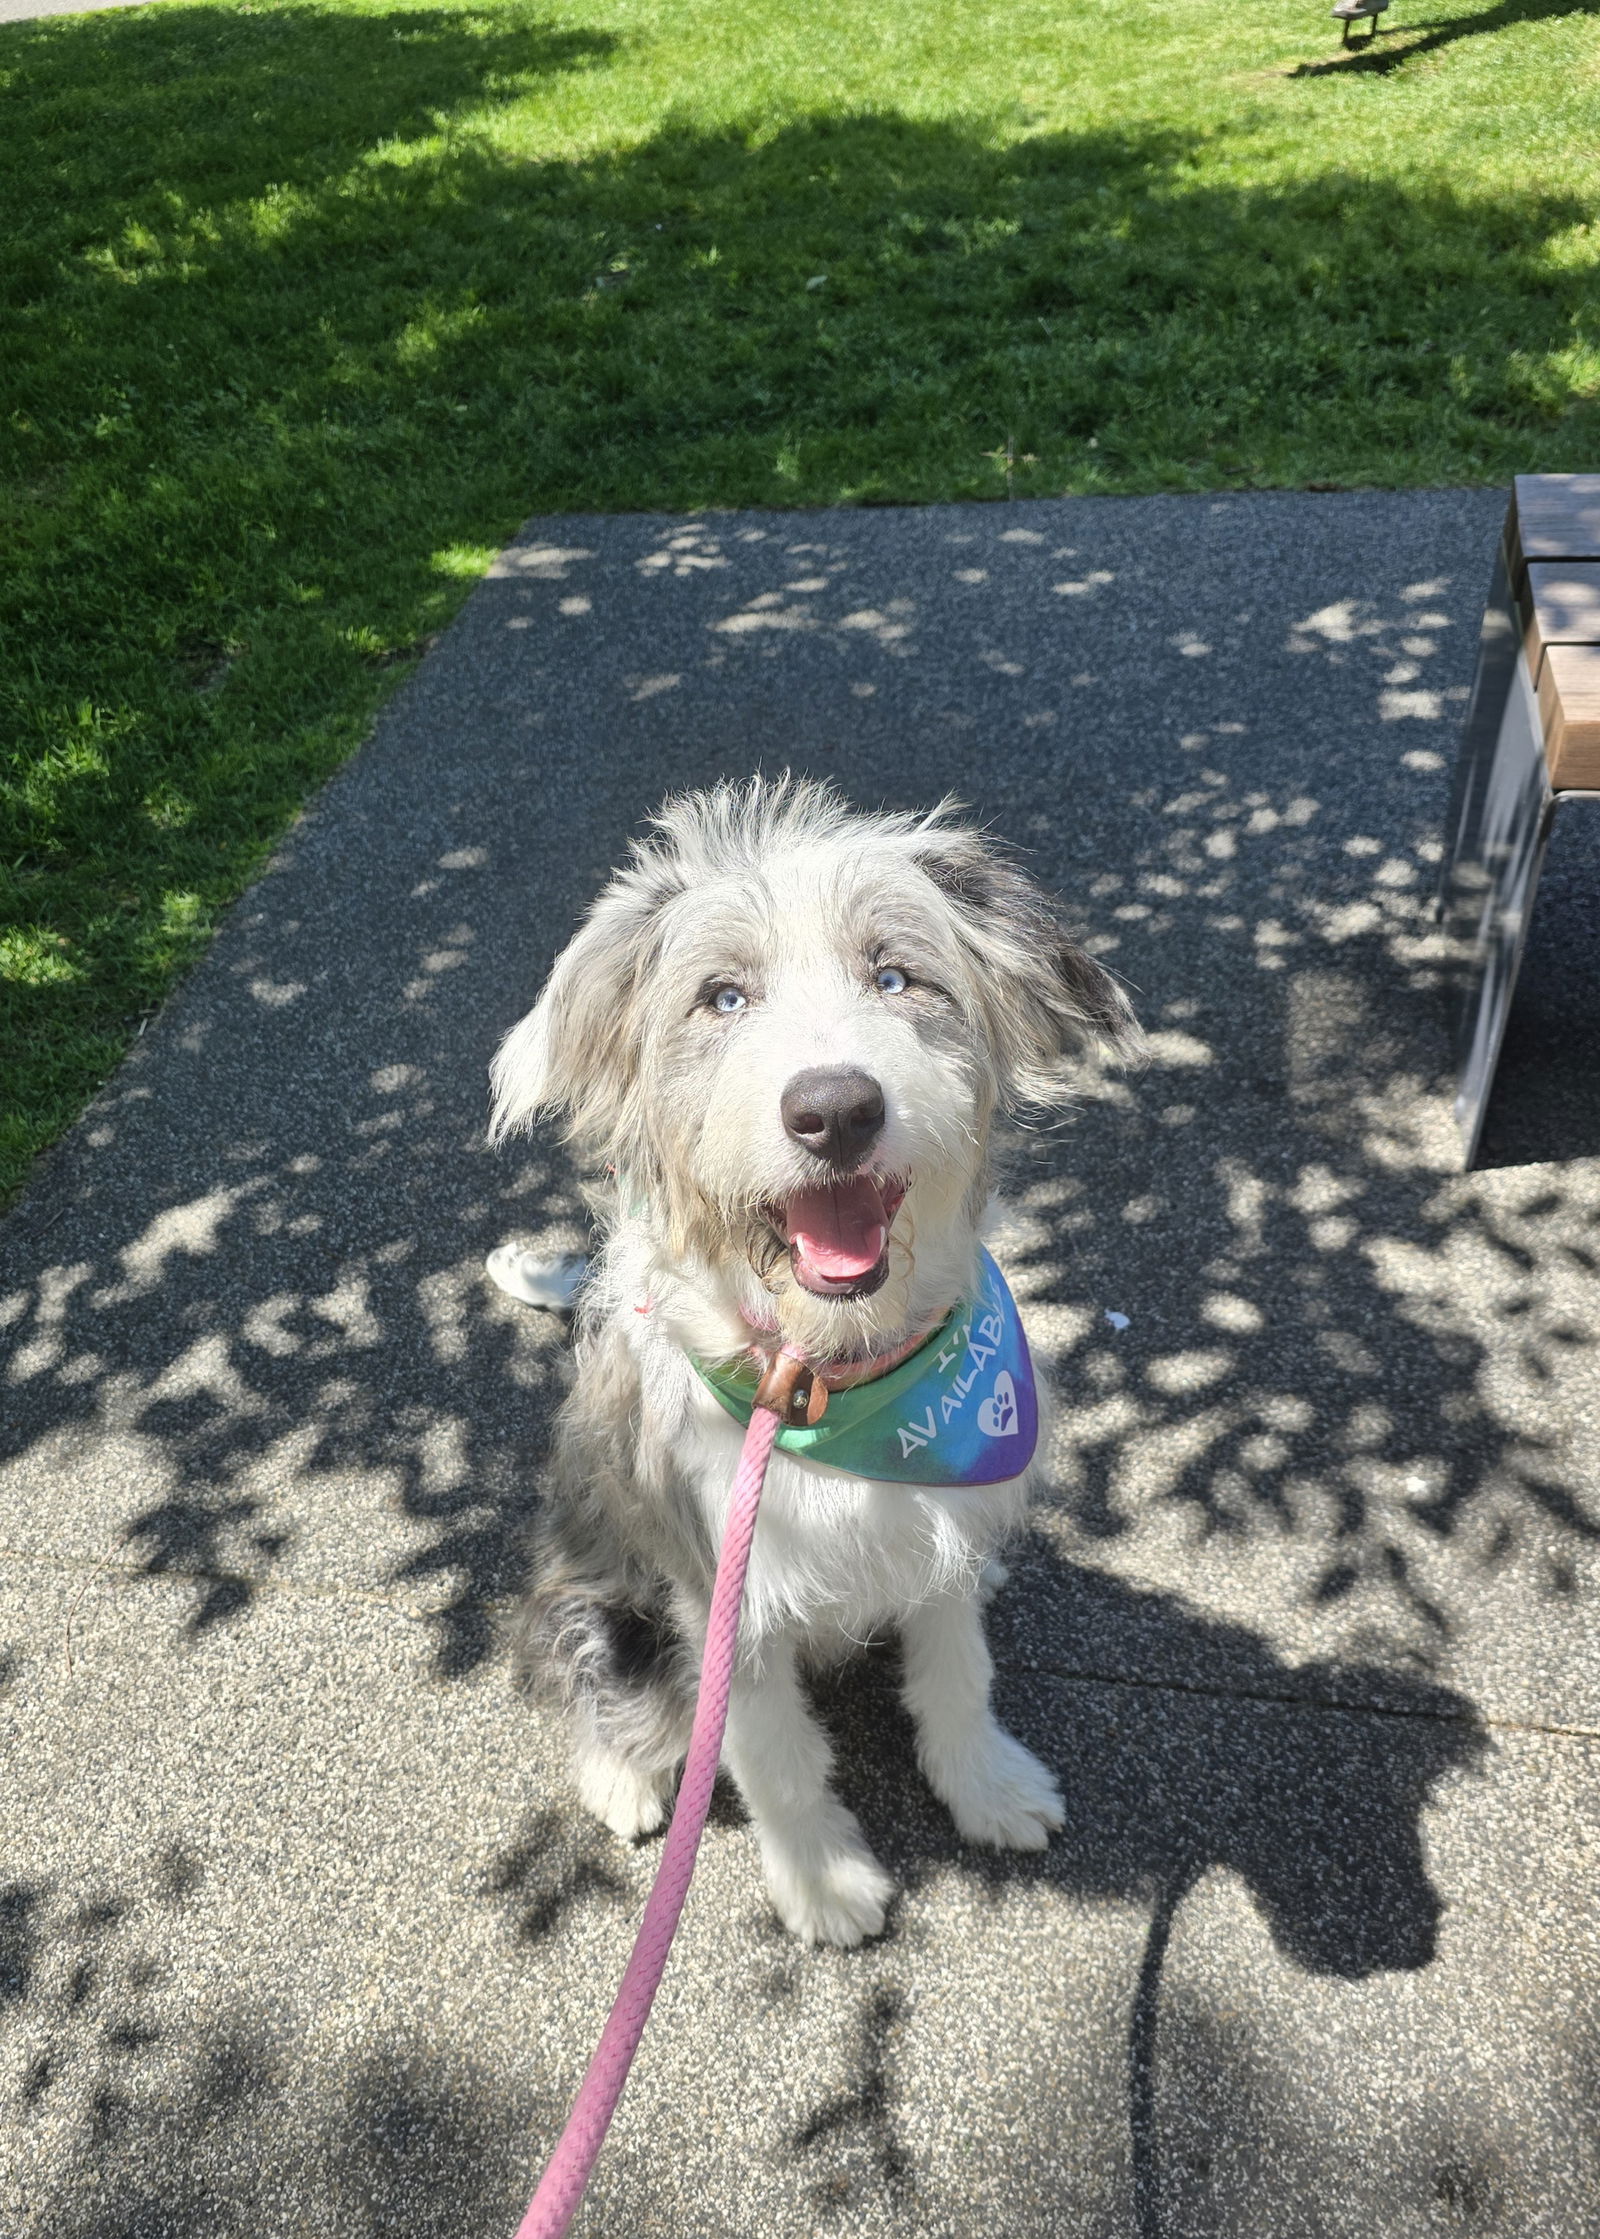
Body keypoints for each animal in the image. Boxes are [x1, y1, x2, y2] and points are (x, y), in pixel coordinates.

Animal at [492, 774, 1141, 1943]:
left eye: (895, 976)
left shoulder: (940, 1535)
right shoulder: (723, 1595)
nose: (835, 1108)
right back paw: (619, 1777)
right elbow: (774, 1758)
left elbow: (958, 1675)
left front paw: (988, 1786)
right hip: (604, 1603)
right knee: (593, 1680)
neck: (829, 1382)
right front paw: (824, 1880)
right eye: (722, 998)